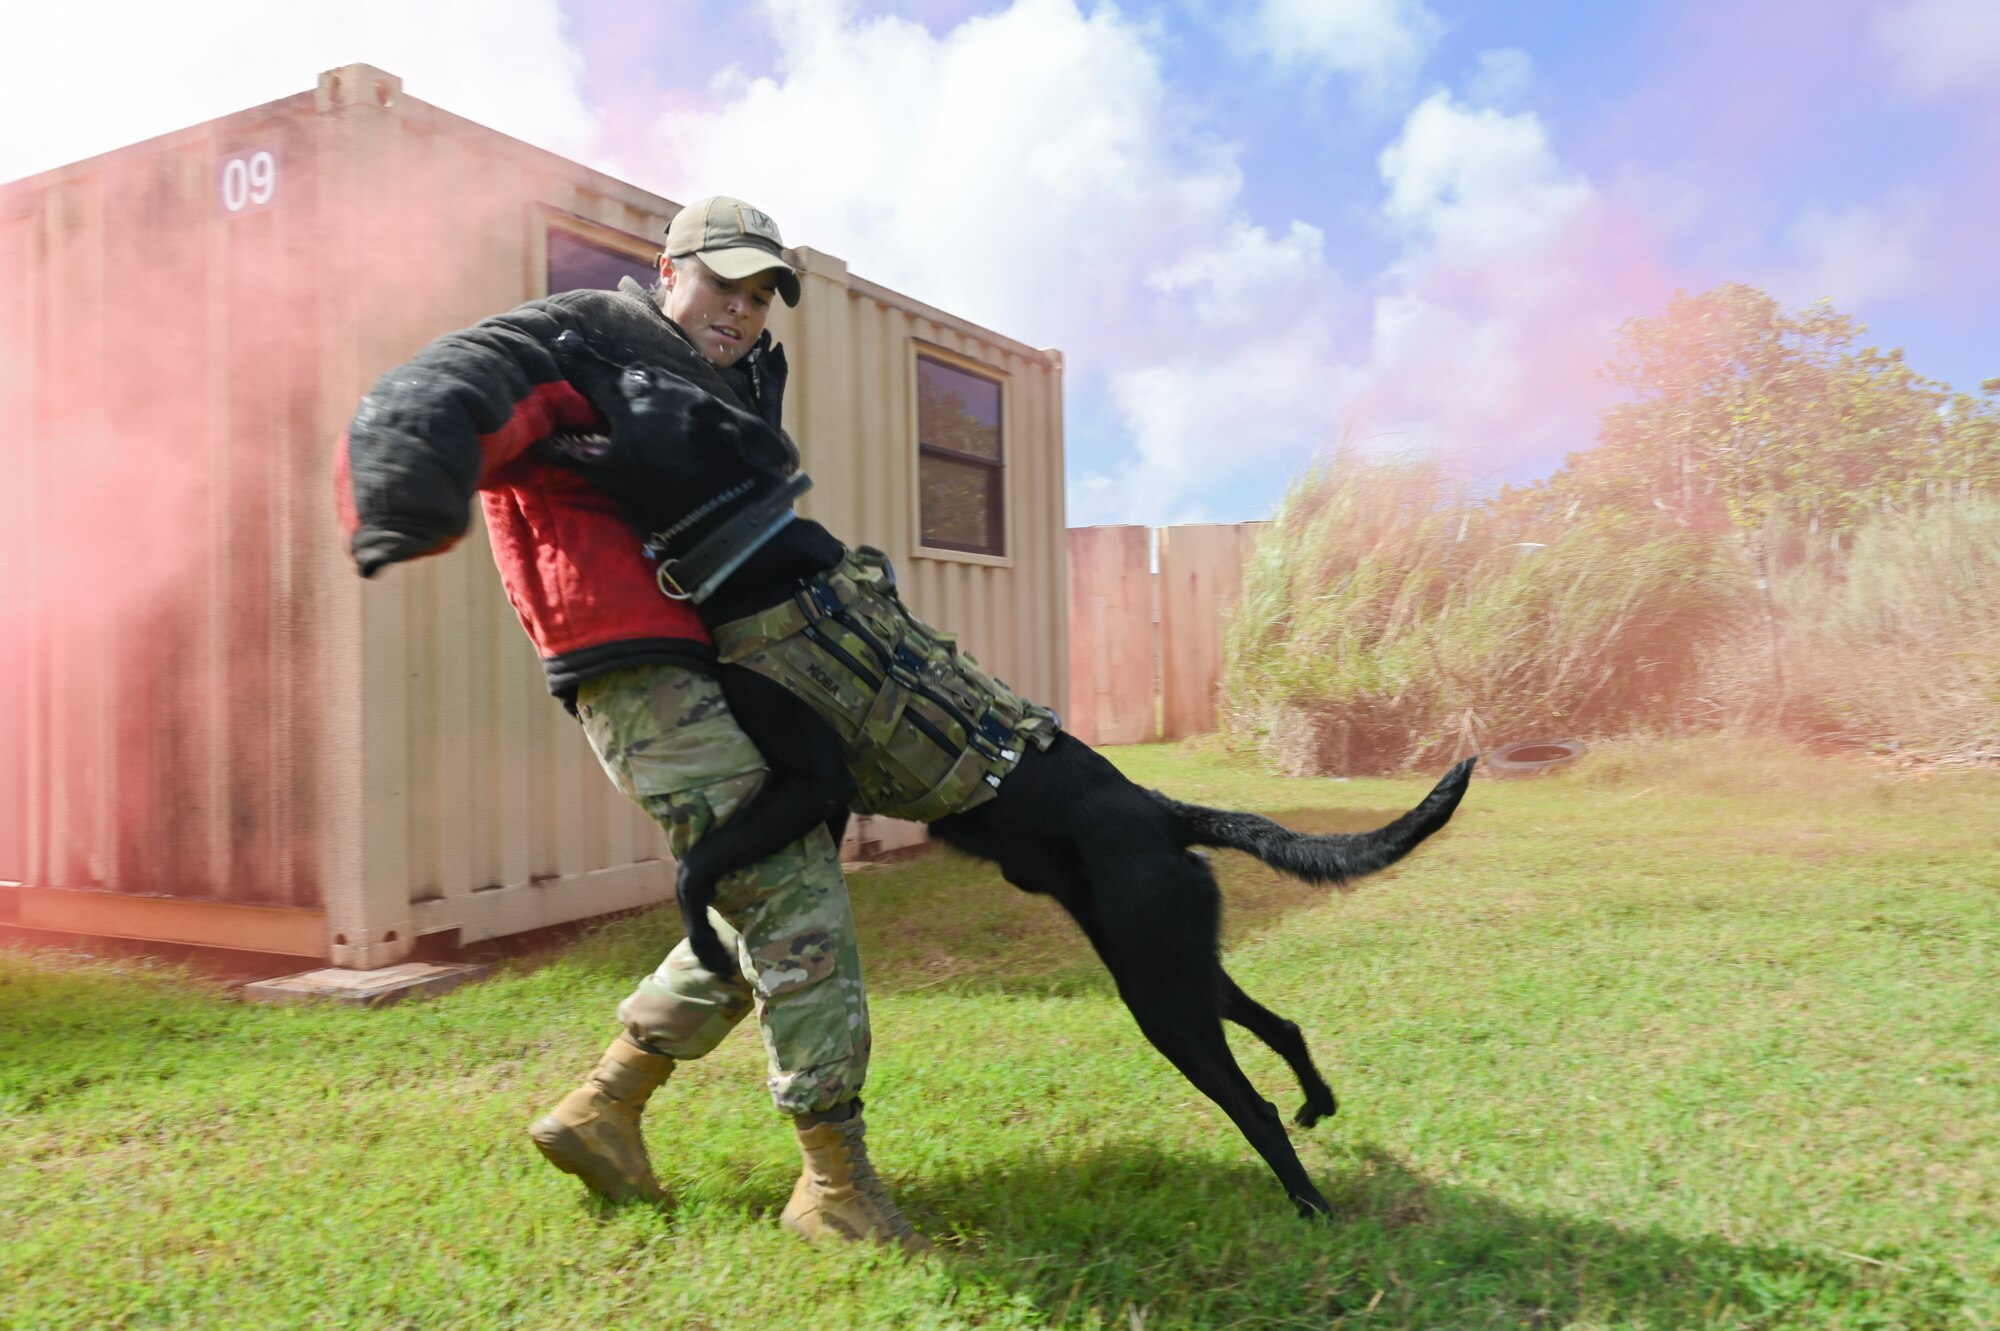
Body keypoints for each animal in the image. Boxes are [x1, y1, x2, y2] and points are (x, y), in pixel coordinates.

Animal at [548, 339, 1472, 1215]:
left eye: (637, 380)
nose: (557, 337)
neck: (751, 550)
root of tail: (1161, 810)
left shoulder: (812, 782)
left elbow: (690, 867)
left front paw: (707, 942)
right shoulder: (819, 805)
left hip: (1161, 990)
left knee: (1253, 1106)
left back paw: (1312, 1205)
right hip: (1174, 961)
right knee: (1278, 1021)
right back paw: (1319, 1104)